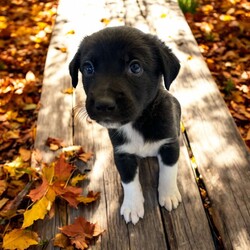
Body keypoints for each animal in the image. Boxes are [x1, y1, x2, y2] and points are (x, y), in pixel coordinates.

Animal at [70, 25, 182, 225]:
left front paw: (168, 195)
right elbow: (129, 181)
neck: (138, 122)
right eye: (88, 68)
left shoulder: (170, 144)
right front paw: (132, 206)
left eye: (135, 67)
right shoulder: (122, 154)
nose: (103, 104)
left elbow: (168, 172)